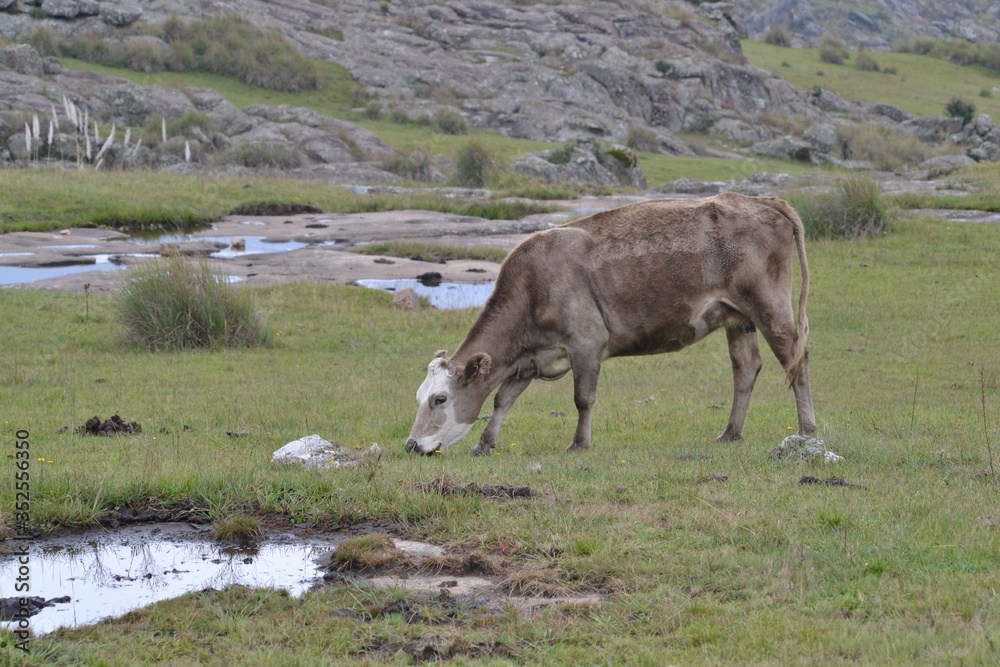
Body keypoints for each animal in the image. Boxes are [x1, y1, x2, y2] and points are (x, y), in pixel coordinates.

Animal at [405, 193, 815, 456]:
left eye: (440, 398)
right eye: (419, 396)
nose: (411, 444)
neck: (533, 286)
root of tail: (761, 200)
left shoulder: (586, 342)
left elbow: (583, 398)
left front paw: (579, 444)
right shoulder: (531, 357)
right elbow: (503, 398)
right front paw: (485, 444)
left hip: (769, 306)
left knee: (796, 360)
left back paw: (807, 431)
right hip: (738, 317)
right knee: (746, 369)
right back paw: (730, 433)